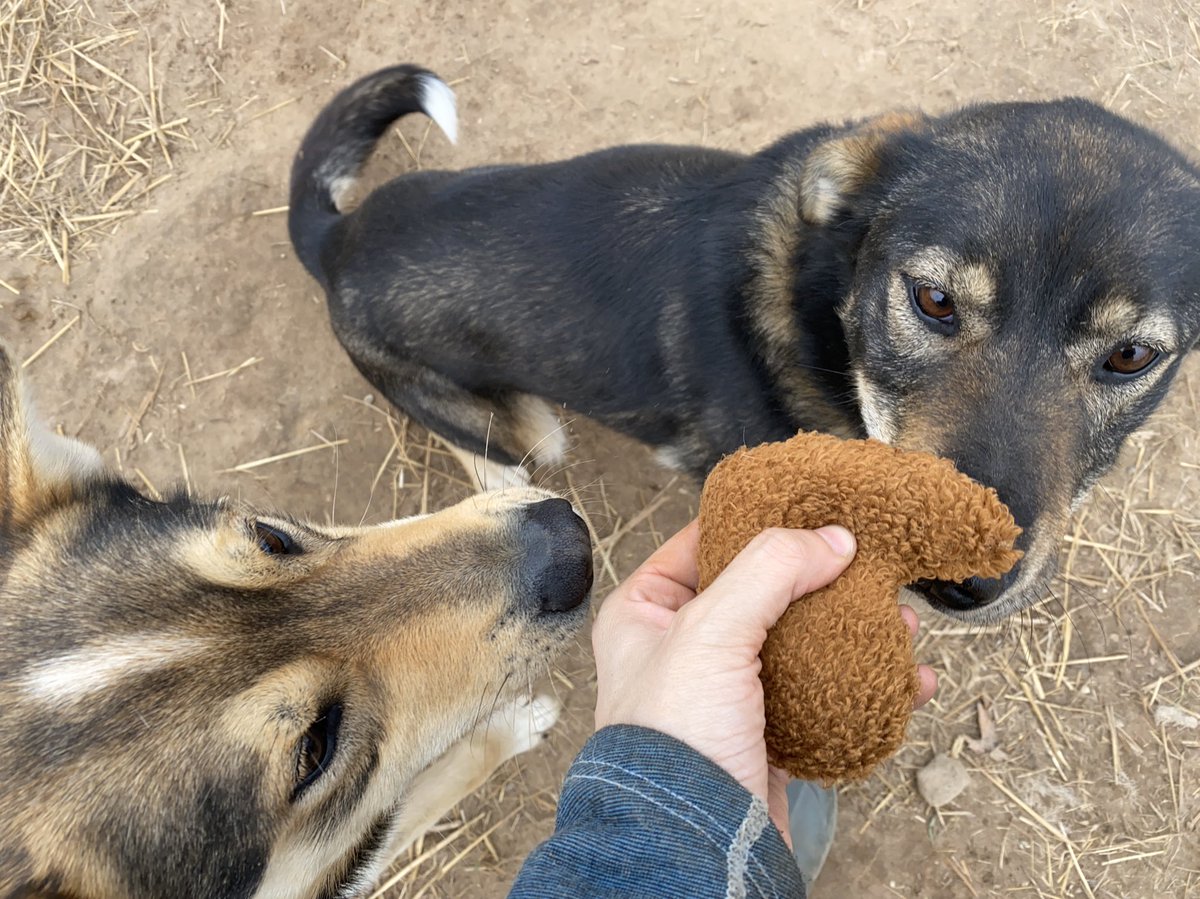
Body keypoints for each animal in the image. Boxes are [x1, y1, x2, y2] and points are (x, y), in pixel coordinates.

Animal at [288, 64, 1200, 624]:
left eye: (1131, 356)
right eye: (934, 300)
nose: (964, 583)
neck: (826, 326)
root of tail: (334, 239)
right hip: (512, 424)